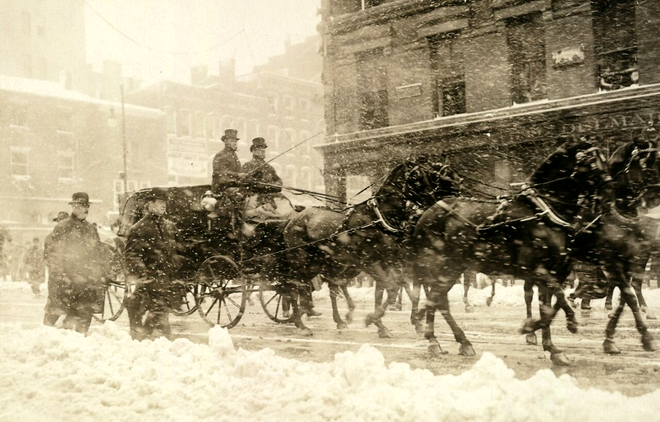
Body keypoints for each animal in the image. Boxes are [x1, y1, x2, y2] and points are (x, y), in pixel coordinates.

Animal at [282, 155, 462, 336]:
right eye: (423, 173)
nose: (458, 185)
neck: (379, 218)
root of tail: (293, 220)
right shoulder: (372, 262)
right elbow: (393, 289)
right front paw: (375, 319)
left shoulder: (389, 262)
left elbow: (384, 292)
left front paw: (382, 325)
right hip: (303, 261)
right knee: (293, 286)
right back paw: (301, 323)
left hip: (321, 264)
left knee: (323, 286)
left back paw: (334, 319)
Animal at [410, 140, 612, 364]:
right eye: (592, 164)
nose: (609, 196)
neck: (542, 213)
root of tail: (426, 213)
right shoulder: (538, 270)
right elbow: (558, 298)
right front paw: (564, 324)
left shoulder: (554, 272)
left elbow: (549, 307)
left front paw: (551, 347)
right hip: (442, 265)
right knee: (436, 299)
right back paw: (434, 340)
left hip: (453, 267)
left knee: (438, 299)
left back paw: (457, 340)